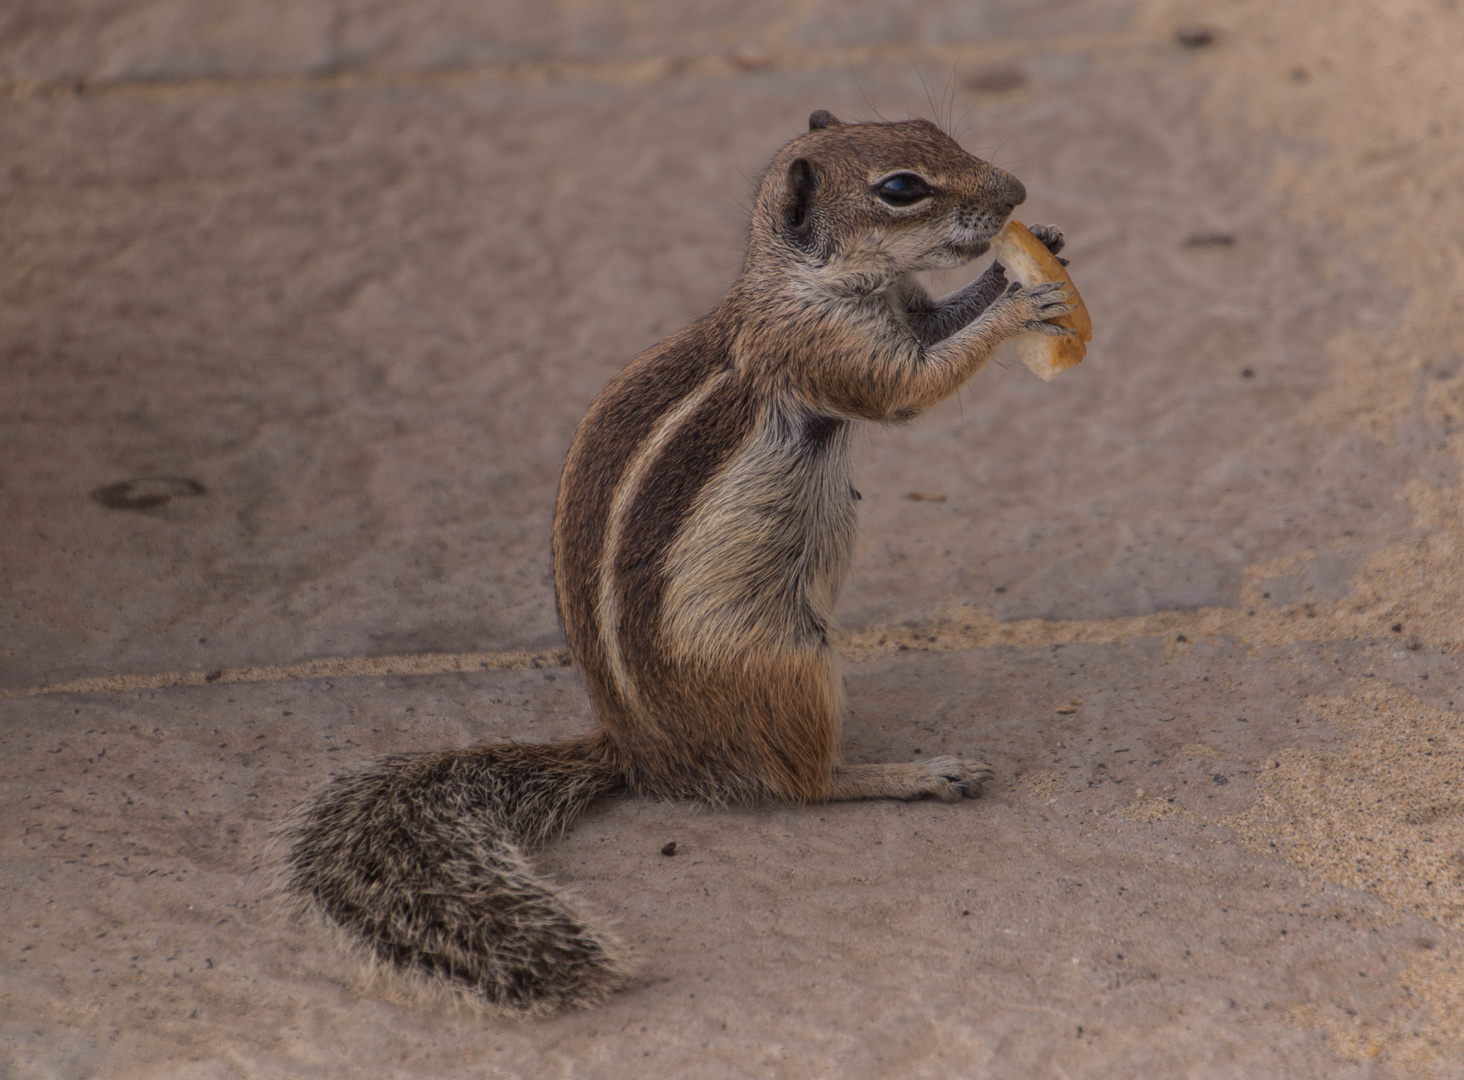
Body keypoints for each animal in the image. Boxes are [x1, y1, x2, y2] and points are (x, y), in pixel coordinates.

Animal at [282, 109, 1077, 1006]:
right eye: (901, 188)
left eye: (930, 126)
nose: (1016, 192)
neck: (797, 281)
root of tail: (642, 754)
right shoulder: (830, 350)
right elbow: (913, 385)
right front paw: (1022, 302)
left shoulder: (895, 313)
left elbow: (936, 323)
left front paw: (1028, 255)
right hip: (788, 664)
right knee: (803, 786)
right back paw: (913, 775)